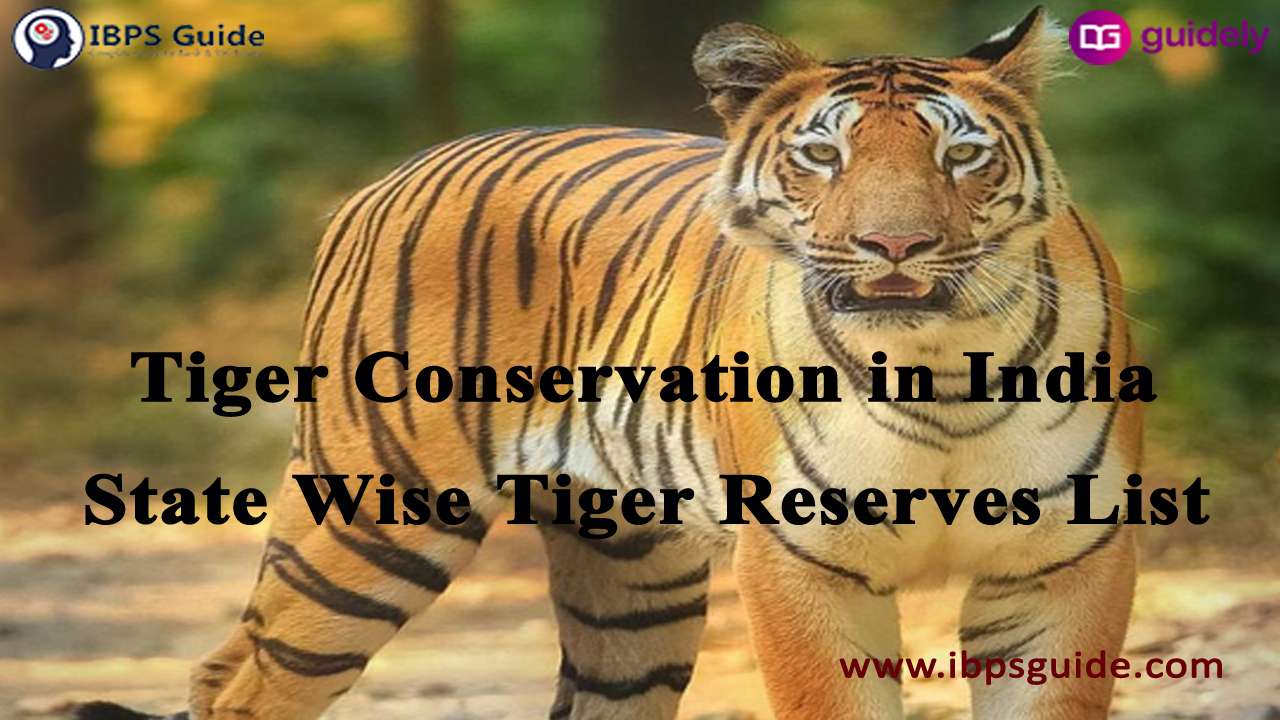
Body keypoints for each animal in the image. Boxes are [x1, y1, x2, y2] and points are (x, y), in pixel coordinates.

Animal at [78, 7, 1141, 720]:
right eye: (822, 157)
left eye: (961, 156)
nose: (895, 246)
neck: (940, 367)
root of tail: (381, 180)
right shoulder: (801, 566)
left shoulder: (1065, 564)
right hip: (373, 520)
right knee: (248, 684)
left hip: (632, 587)